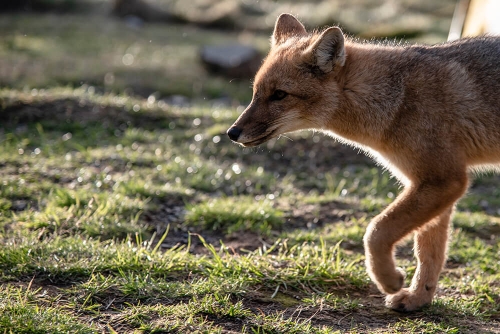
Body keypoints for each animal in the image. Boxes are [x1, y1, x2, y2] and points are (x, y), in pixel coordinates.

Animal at [226, 13, 500, 310]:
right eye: (255, 93)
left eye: (279, 94)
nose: (232, 133)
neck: (398, 98)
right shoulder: (434, 184)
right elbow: (428, 253)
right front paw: (418, 298)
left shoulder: (445, 181)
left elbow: (376, 231)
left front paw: (389, 279)